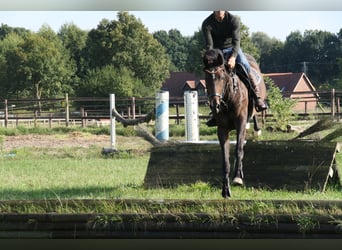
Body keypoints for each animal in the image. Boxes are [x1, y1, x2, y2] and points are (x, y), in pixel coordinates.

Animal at [203, 48, 268, 197]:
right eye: (207, 78)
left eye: (221, 77)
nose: (215, 105)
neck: (228, 98)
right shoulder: (222, 129)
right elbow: (225, 160)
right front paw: (225, 190)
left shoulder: (241, 123)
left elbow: (238, 149)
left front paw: (237, 177)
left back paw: (257, 128)